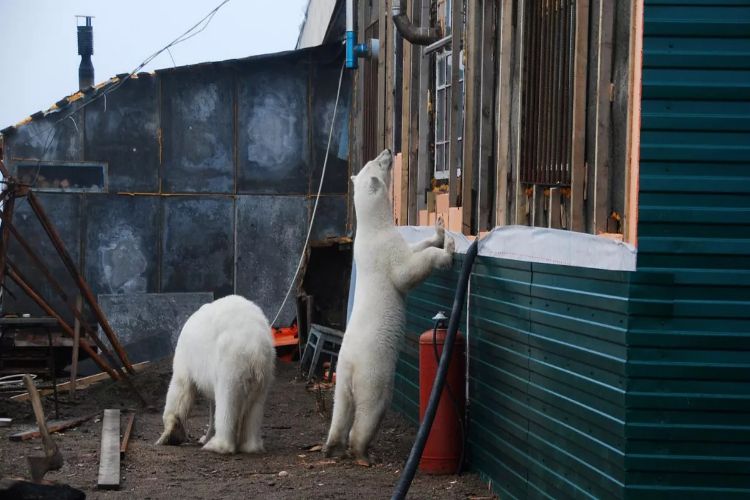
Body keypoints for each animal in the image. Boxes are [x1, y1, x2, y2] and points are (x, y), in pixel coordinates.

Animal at [156, 295, 275, 454]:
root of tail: (255, 348)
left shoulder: (185, 356)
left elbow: (181, 386)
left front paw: (168, 436)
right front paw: (203, 437)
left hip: (230, 362)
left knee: (227, 400)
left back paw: (216, 445)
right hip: (265, 370)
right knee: (255, 405)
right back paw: (251, 446)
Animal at [323, 149, 455, 465]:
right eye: (378, 163)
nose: (386, 151)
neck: (371, 228)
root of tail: (350, 369)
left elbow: (415, 249)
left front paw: (439, 230)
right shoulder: (385, 252)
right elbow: (406, 271)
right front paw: (448, 250)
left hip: (342, 377)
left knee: (340, 408)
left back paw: (331, 446)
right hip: (373, 373)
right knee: (370, 410)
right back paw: (362, 452)